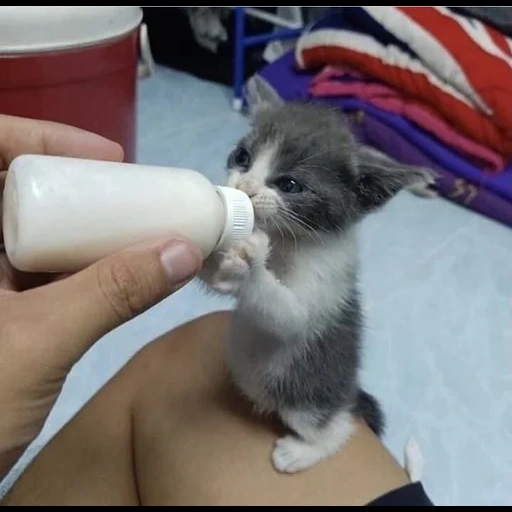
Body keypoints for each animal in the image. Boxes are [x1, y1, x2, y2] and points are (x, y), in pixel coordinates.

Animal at [199, 100, 432, 472]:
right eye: (243, 157)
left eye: (290, 185)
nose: (245, 186)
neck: (287, 238)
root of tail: (350, 392)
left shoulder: (325, 276)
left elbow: (291, 317)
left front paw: (250, 269)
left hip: (305, 395)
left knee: (339, 427)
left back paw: (301, 451)